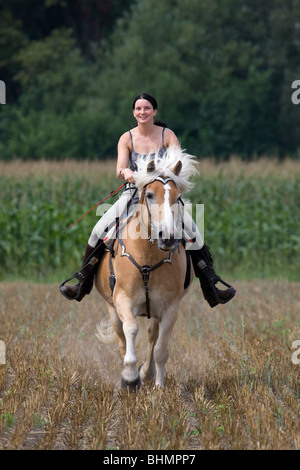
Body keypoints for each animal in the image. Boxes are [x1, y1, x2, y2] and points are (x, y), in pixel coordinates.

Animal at [95, 147, 199, 390]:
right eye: (150, 195)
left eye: (178, 198)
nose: (167, 237)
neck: (148, 258)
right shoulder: (123, 300)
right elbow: (131, 330)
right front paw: (129, 378)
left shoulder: (170, 308)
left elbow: (161, 349)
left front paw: (157, 385)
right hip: (112, 309)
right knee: (123, 340)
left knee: (152, 336)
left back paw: (147, 373)